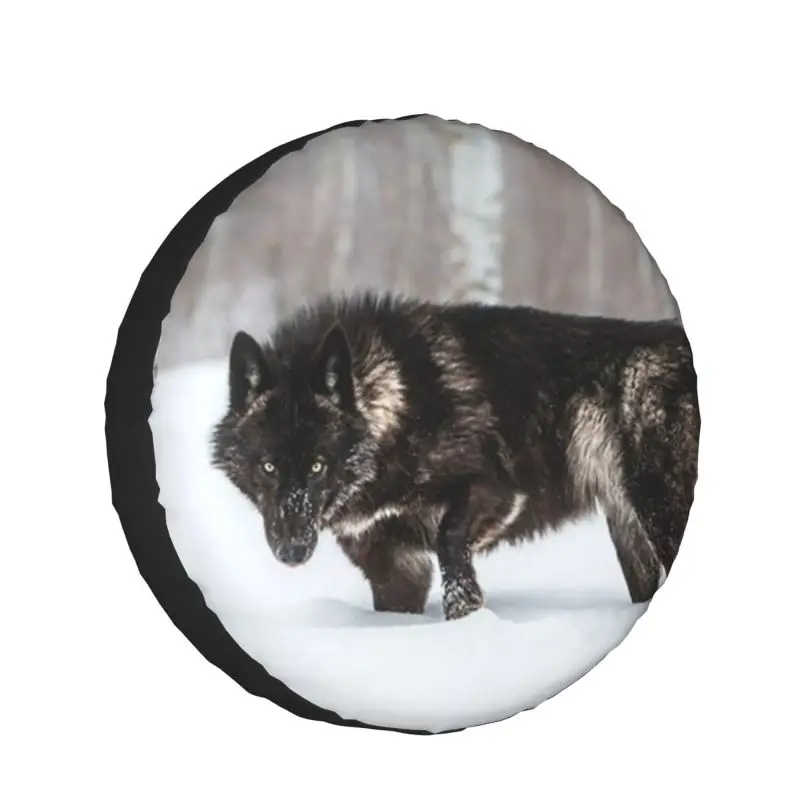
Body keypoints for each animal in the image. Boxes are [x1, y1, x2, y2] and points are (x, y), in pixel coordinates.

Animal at [211, 292, 700, 621]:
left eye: (317, 466)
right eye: (268, 467)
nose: (292, 550)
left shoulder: (497, 492)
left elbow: (449, 540)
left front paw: (467, 613)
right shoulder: (393, 566)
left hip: (663, 513)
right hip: (630, 531)